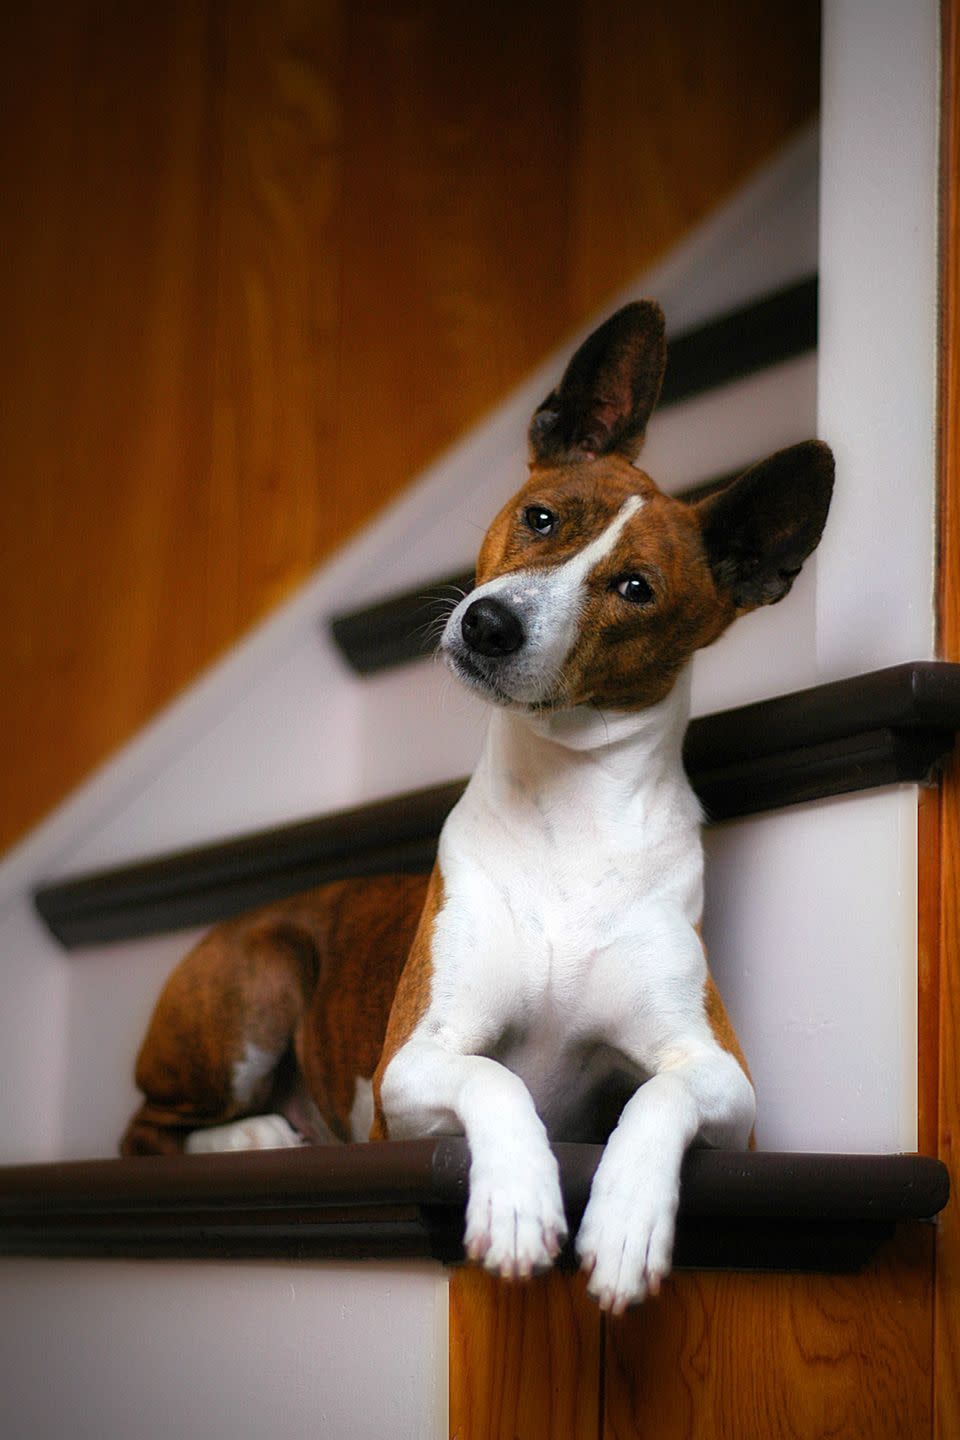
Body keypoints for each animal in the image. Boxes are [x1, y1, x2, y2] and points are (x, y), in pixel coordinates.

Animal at [123, 303, 834, 1319]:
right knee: (142, 1131)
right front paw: (518, 1202)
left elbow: (653, 1099)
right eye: (540, 517)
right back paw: (249, 1137)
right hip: (261, 982)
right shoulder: (415, 1062)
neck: (568, 810)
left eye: (635, 590)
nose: (490, 624)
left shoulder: (722, 1079)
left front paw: (625, 1223)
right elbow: (497, 1078)